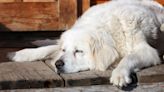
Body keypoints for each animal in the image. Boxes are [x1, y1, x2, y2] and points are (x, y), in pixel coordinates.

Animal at [7, 0, 164, 87]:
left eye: (79, 51)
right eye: (64, 50)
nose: (58, 64)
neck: (109, 30)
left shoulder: (149, 52)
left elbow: (129, 57)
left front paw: (119, 74)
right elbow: (48, 49)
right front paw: (19, 54)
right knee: (54, 41)